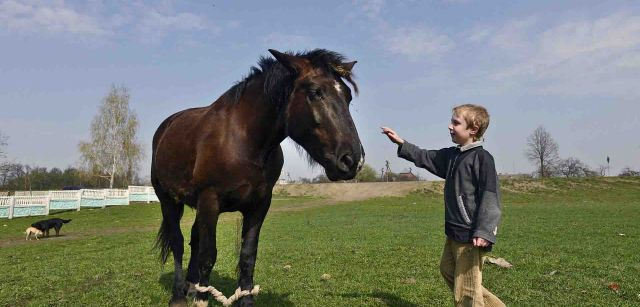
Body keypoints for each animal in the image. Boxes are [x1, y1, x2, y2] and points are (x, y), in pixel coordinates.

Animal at [149, 49, 360, 306]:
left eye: (348, 96)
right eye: (315, 92)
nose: (352, 159)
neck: (243, 140)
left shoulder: (258, 205)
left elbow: (247, 256)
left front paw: (244, 298)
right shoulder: (210, 200)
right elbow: (208, 255)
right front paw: (201, 298)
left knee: (194, 239)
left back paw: (191, 286)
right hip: (168, 200)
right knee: (178, 243)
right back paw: (179, 295)